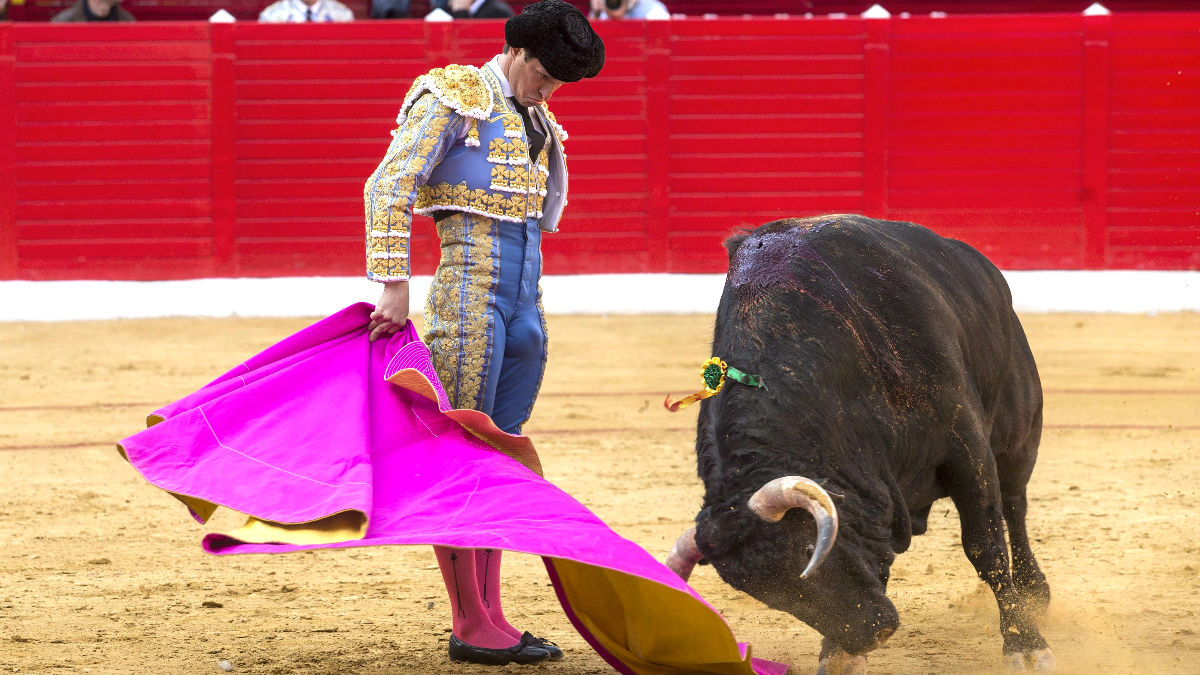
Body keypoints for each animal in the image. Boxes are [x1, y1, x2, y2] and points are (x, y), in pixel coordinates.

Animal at [672, 214, 1056, 672]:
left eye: (808, 549)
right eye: (765, 596)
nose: (872, 633)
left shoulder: (966, 445)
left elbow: (986, 548)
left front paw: (1026, 645)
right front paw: (838, 656)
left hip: (1018, 432)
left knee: (1015, 505)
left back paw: (1035, 594)